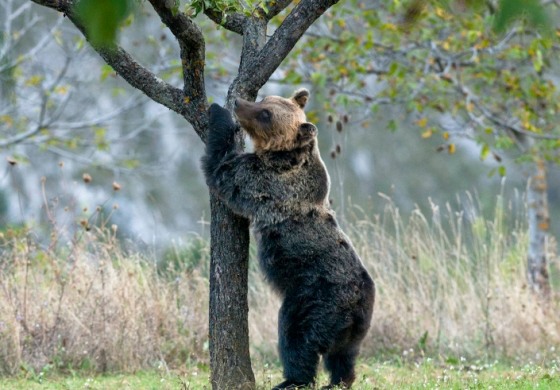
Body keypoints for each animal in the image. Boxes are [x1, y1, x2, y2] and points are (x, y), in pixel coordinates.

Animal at [202, 90, 376, 388]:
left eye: (265, 114)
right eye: (264, 99)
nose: (239, 103)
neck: (283, 156)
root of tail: (358, 305)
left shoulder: (267, 181)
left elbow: (225, 170)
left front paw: (217, 113)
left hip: (314, 300)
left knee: (297, 339)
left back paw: (292, 379)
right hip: (356, 328)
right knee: (344, 356)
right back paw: (339, 380)